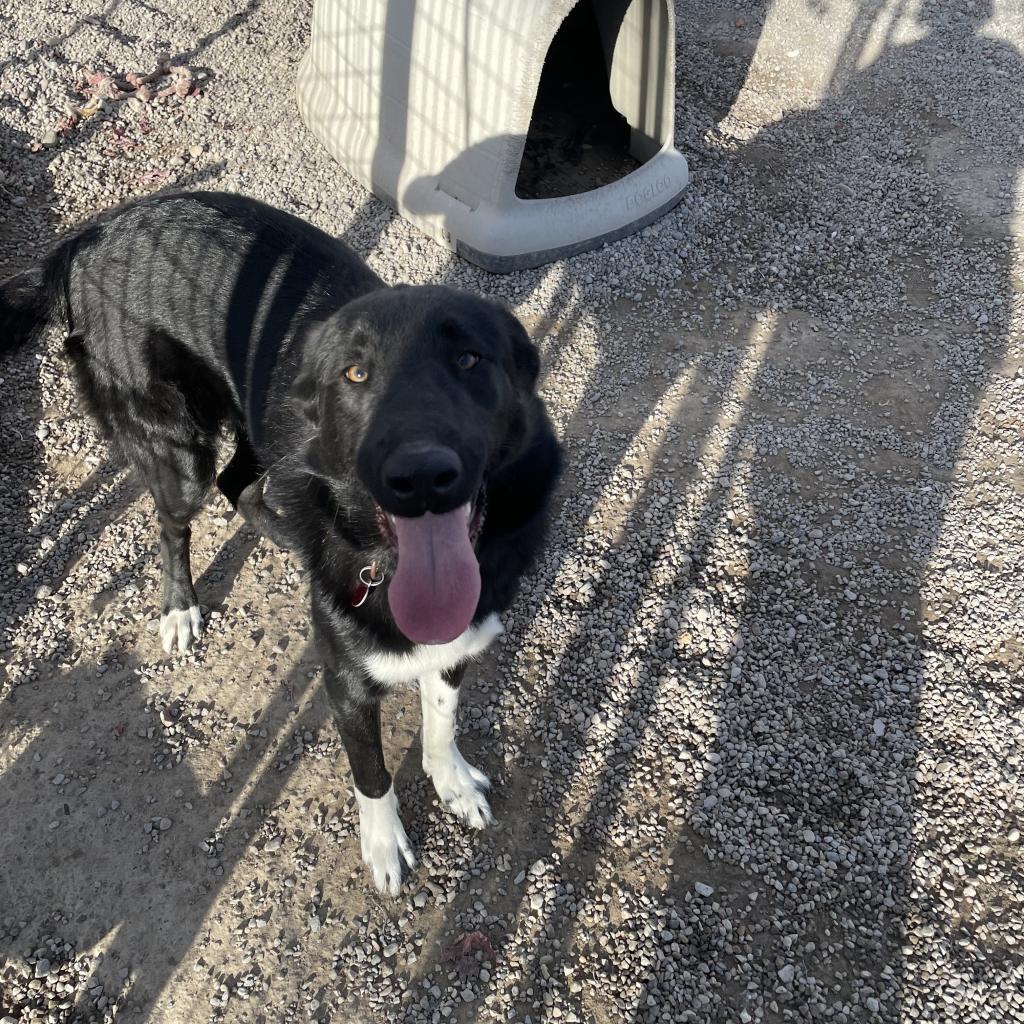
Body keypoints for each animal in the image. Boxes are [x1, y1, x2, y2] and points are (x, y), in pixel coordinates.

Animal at [0, 190, 561, 888]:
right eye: (355, 374)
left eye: (469, 361)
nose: (420, 476)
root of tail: (89, 236)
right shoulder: (345, 679)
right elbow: (372, 772)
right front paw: (384, 843)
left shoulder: (461, 637)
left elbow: (441, 715)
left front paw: (450, 779)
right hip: (177, 449)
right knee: (176, 517)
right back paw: (180, 607)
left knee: (241, 484)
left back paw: (286, 533)